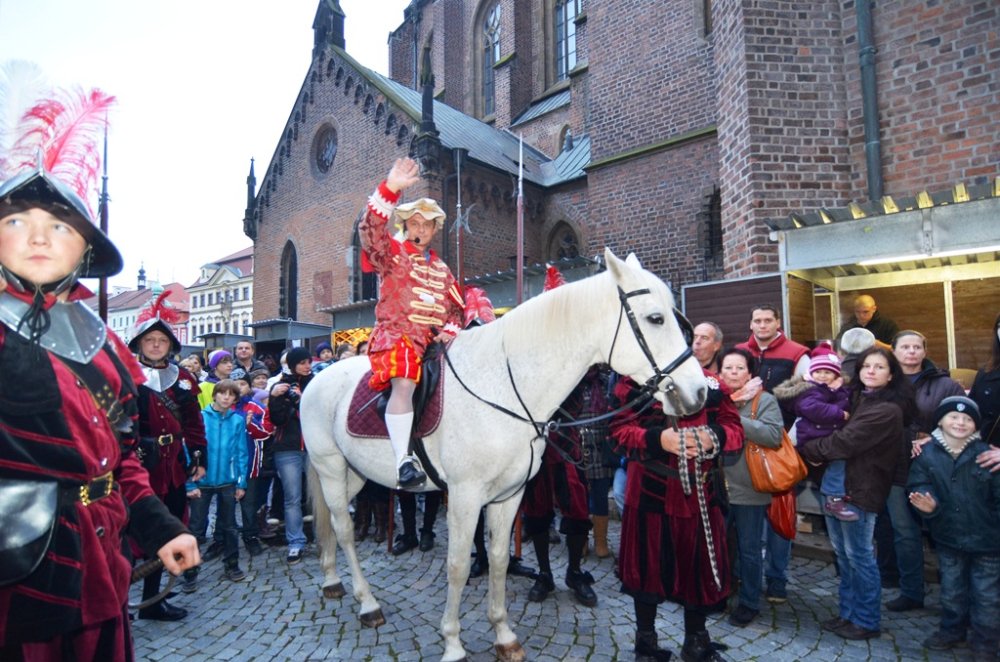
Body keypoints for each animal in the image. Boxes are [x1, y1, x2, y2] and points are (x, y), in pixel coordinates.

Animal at [300, 250, 708, 662]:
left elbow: (497, 557)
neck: (505, 386)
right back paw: (367, 603)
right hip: (330, 468)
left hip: (355, 474)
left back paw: (332, 579)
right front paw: (453, 642)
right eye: (655, 318)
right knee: (344, 529)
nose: (699, 392)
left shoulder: (509, 494)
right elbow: (458, 566)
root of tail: (317, 379)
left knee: (333, 524)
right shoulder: (464, 496)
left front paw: (503, 634)